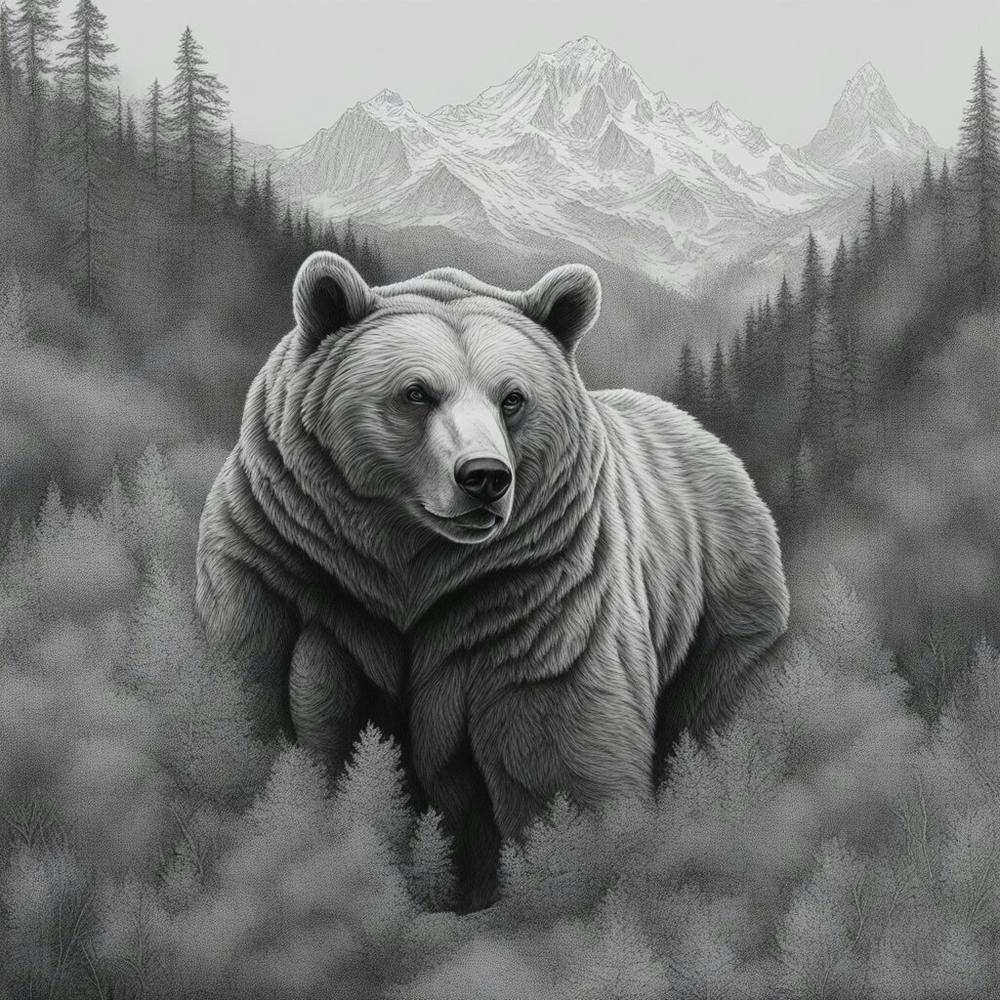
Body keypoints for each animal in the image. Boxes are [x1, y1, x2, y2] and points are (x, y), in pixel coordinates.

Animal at [195, 250, 790, 910]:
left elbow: (561, 745)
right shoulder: (278, 564)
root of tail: (710, 441)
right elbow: (253, 695)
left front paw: (580, 865)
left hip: (724, 597)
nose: (484, 475)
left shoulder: (537, 596)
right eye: (416, 392)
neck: (405, 561)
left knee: (725, 707)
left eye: (512, 398)